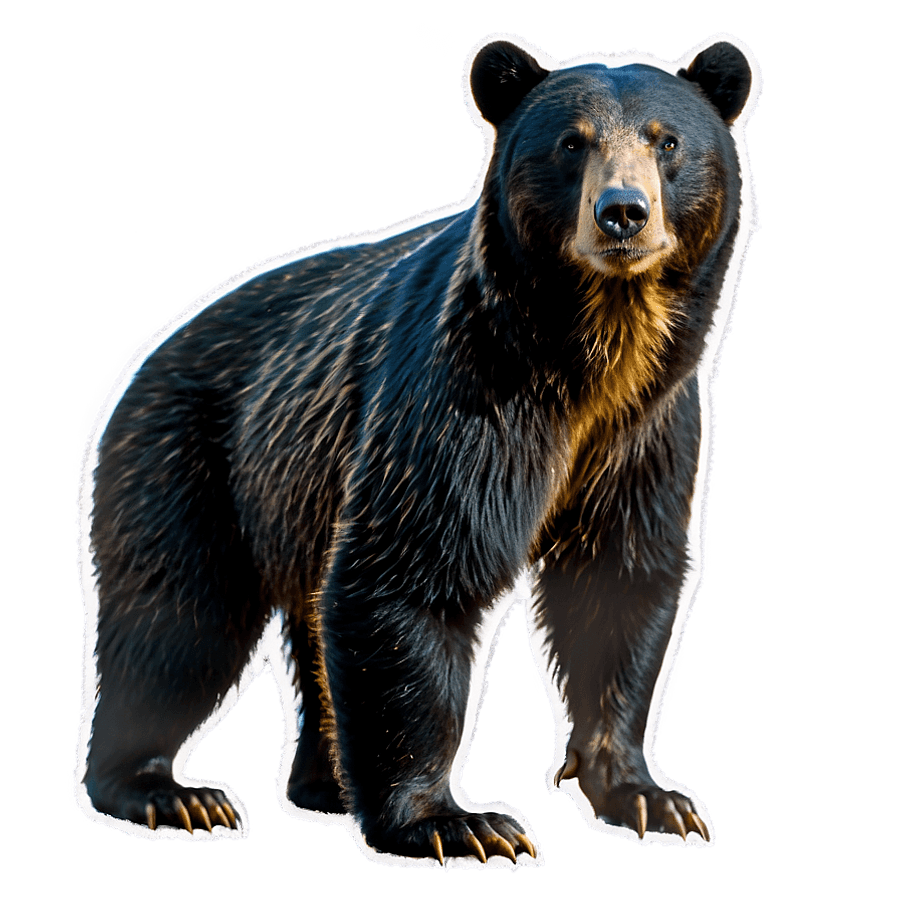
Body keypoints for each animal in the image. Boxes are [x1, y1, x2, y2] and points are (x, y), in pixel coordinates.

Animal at [78, 35, 755, 864]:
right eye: (572, 143)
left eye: (668, 141)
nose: (622, 213)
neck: (588, 357)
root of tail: (149, 356)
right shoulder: (460, 393)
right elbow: (413, 572)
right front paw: (456, 821)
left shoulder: (646, 432)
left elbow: (621, 580)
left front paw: (649, 795)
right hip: (192, 461)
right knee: (175, 619)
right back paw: (166, 791)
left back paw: (325, 783)